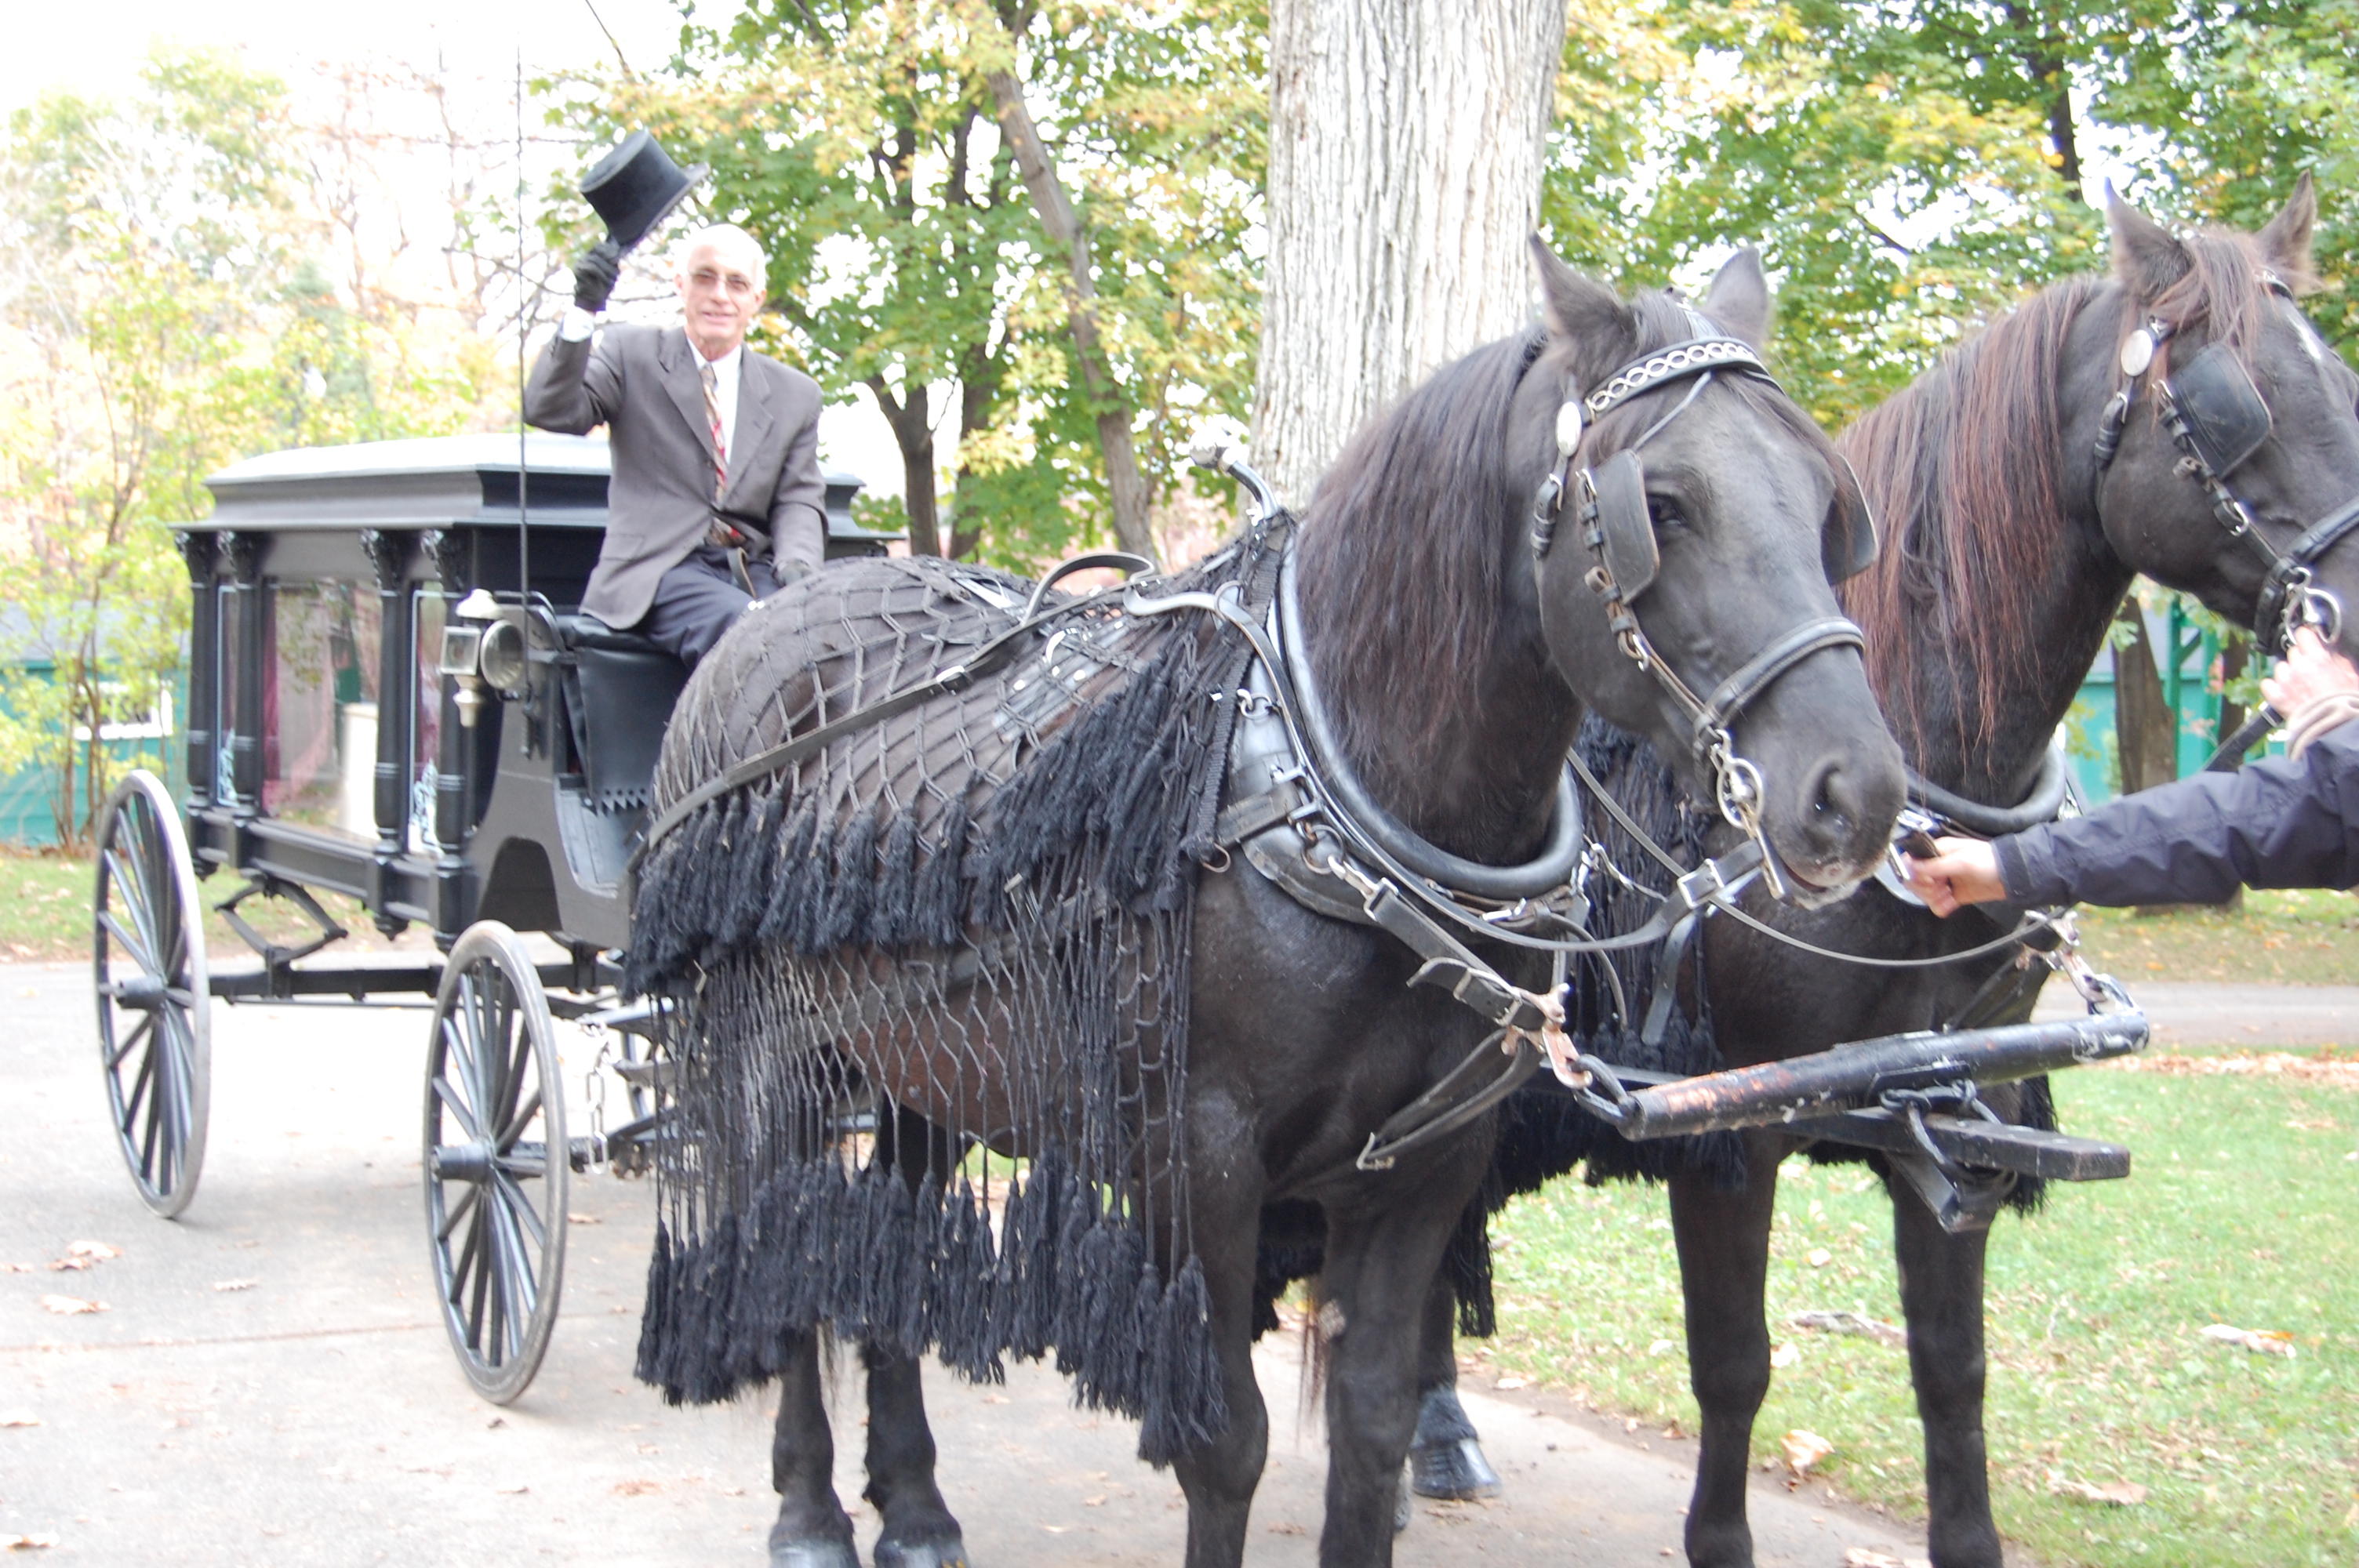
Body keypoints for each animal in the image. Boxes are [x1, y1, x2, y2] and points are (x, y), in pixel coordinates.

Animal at [637, 235, 1906, 1565]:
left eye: (1830, 511)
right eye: (1663, 506)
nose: (1855, 793)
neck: (1333, 787)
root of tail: (771, 609)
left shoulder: (1422, 1172)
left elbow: (1371, 1422)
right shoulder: (1196, 1162)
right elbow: (1226, 1444)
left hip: (918, 1064)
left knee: (885, 1249)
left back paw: (920, 1506)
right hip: (773, 1060)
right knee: (779, 1257)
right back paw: (808, 1510)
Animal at [1415, 176, 2359, 1555]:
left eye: (2340, 381)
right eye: (2236, 406)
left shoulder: (1948, 1111)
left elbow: (1951, 1368)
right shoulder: (1733, 1131)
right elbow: (1735, 1367)